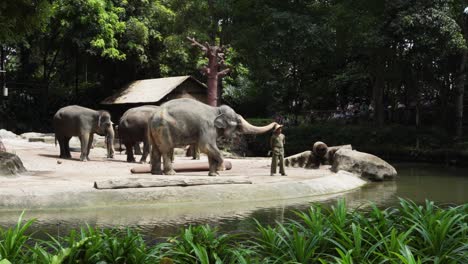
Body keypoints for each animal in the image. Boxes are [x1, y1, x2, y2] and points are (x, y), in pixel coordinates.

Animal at [148, 98, 278, 176]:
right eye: (238, 123)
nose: (277, 124)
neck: (217, 110)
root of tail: (153, 115)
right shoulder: (207, 126)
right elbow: (206, 146)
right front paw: (222, 169)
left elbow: (210, 149)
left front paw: (214, 175)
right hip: (163, 129)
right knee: (166, 149)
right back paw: (171, 173)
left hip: (155, 130)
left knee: (155, 149)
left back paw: (156, 173)